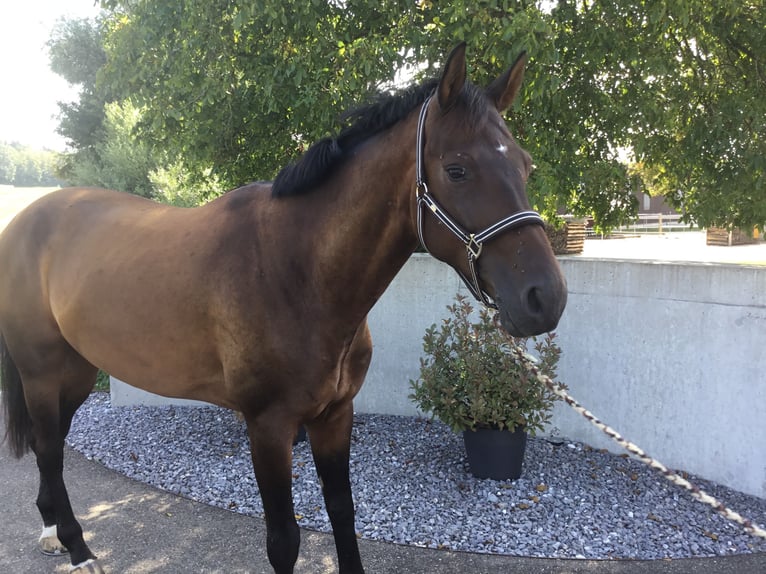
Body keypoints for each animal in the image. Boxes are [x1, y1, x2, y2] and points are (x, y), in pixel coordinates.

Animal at [1, 45, 568, 574]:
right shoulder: (269, 427)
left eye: (525, 165)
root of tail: (24, 221)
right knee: (49, 450)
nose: (545, 298)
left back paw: (53, 531)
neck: (293, 269)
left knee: (52, 451)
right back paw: (78, 547)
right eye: (457, 169)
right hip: (42, 374)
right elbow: (284, 541)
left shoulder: (335, 415)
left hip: (76, 373)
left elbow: (342, 511)